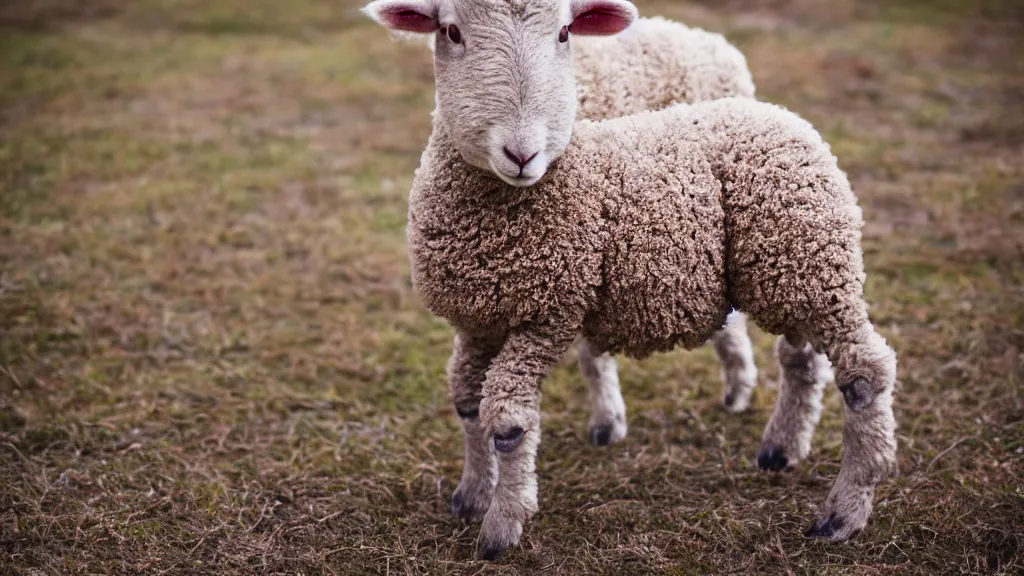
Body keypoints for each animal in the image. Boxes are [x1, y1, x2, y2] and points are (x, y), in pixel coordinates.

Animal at [360, 0, 897, 557]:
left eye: (565, 32)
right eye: (450, 31)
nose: (522, 154)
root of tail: (786, 117)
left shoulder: (547, 315)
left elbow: (509, 423)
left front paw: (502, 525)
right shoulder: (478, 321)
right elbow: (467, 402)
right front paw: (471, 494)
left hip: (813, 266)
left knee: (865, 371)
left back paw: (844, 510)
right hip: (789, 272)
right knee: (801, 357)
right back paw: (780, 447)